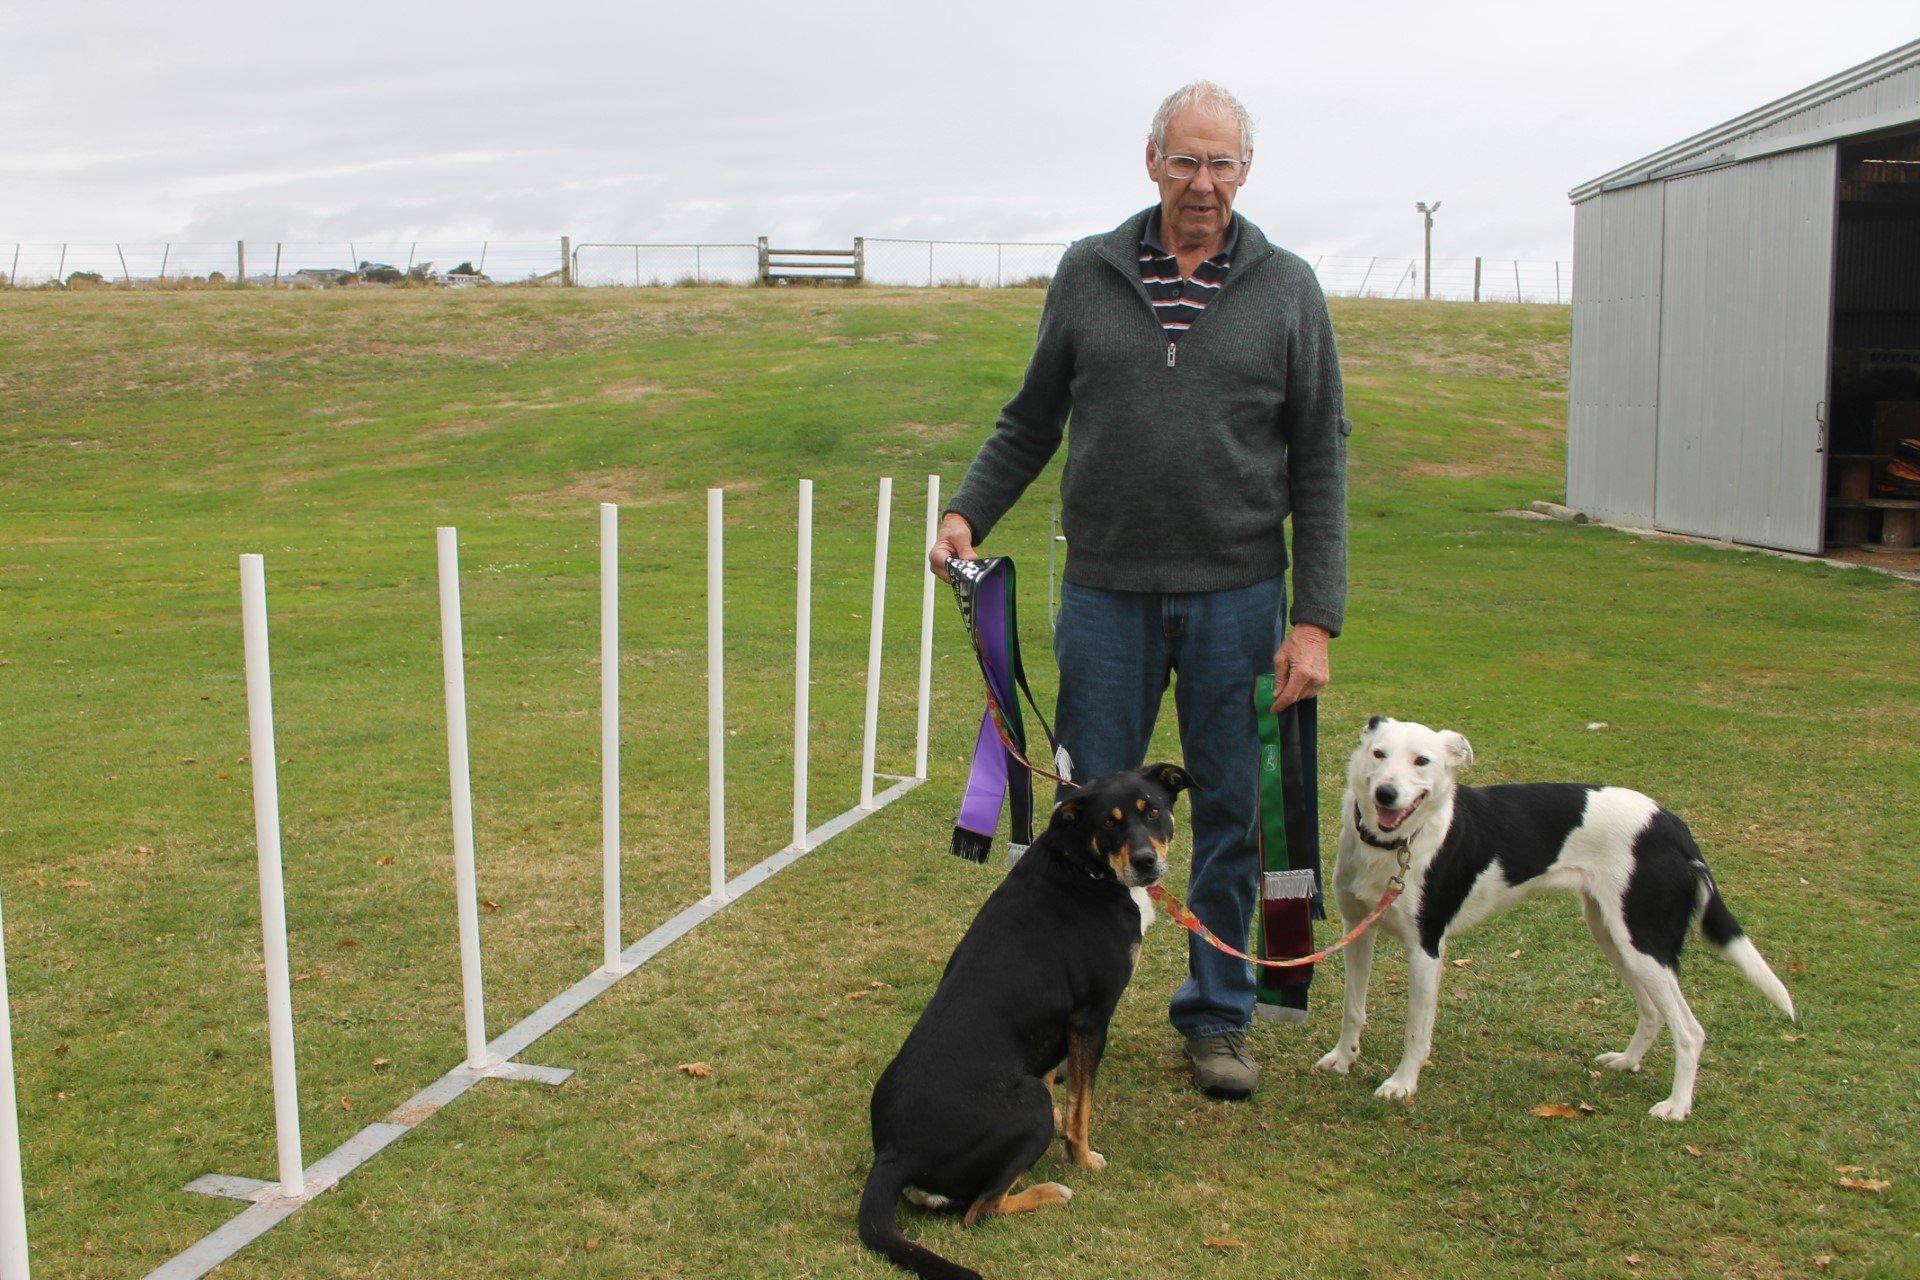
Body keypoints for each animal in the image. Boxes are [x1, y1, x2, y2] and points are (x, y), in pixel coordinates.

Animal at [856, 767, 1182, 1274]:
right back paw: (1050, 1191)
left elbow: (1059, 1084)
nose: (1147, 863)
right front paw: (1082, 1158)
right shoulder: (1090, 1018)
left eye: (1154, 810)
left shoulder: (1054, 1029)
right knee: (980, 1210)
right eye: (1110, 824)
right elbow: (1081, 1107)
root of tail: (892, 1154)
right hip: (1026, 1105)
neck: (1082, 866)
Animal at [1313, 717, 1789, 1128]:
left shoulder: (1426, 950)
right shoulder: (1357, 931)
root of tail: (1672, 825)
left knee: (1690, 1030)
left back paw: (1676, 1105)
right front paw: (1344, 1058)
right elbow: (1353, 1008)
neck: (1394, 845)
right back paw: (1627, 1062)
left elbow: (1415, 1031)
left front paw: (1402, 1084)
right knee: (1654, 1012)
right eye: (1378, 753)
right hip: (1614, 936)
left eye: (1422, 761)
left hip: (1643, 942)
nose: (1386, 794)